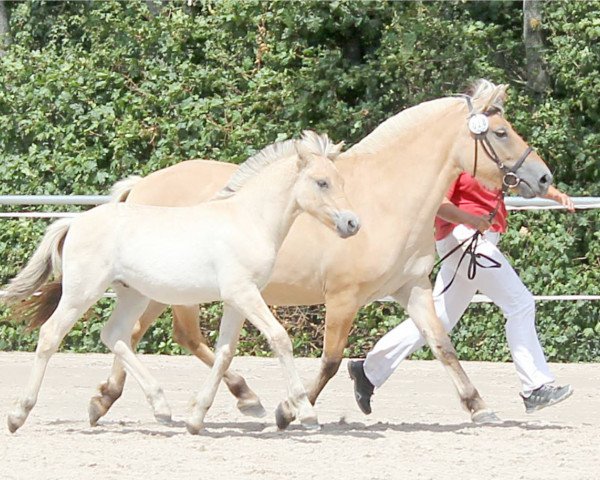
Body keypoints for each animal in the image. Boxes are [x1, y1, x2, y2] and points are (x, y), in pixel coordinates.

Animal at [4, 131, 358, 436]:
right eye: (322, 182)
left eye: (342, 181)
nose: (352, 223)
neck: (248, 220)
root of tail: (75, 222)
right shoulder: (244, 294)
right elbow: (280, 339)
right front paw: (304, 413)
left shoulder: (237, 299)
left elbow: (225, 352)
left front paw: (198, 417)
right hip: (83, 291)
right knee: (51, 335)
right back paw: (18, 415)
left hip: (132, 295)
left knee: (115, 335)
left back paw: (160, 407)